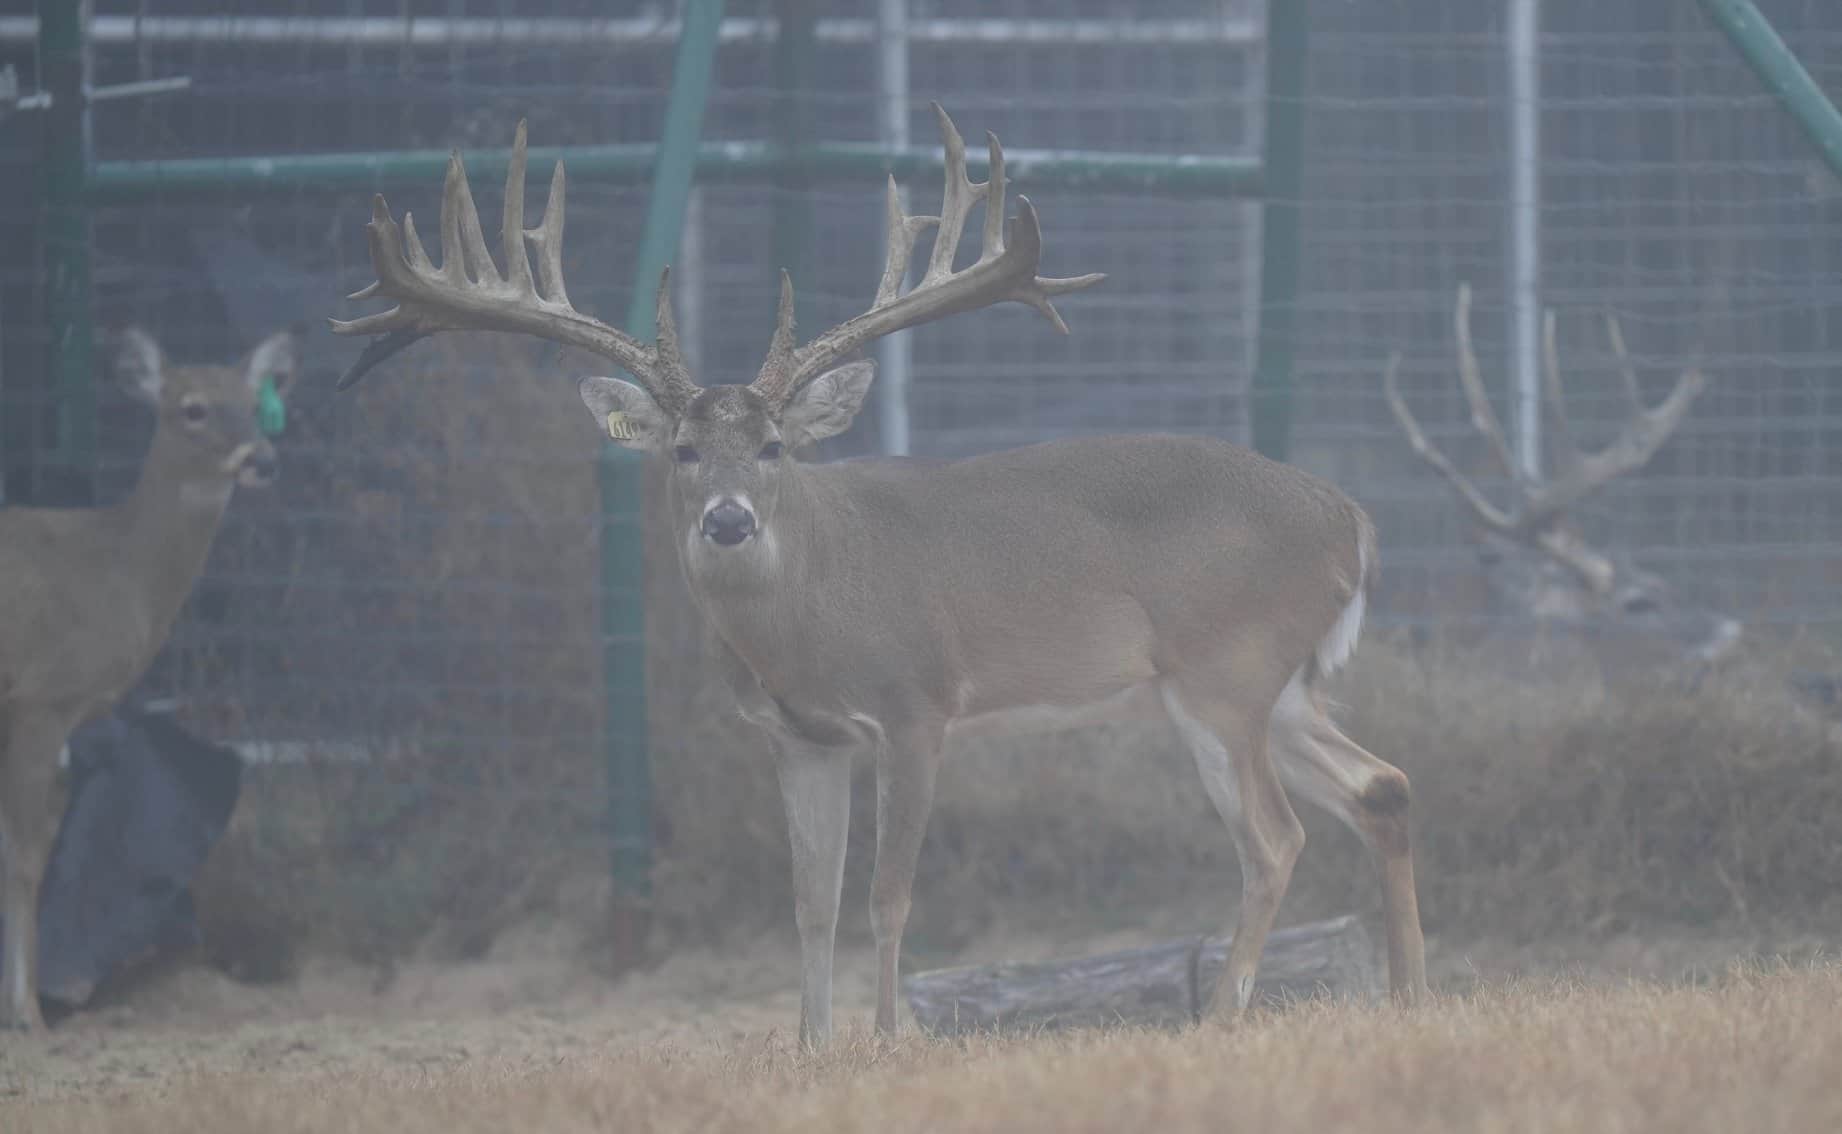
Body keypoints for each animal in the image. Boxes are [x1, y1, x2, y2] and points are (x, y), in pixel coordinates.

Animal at [0, 326, 296, 1030]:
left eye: (255, 402)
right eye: (192, 409)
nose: (263, 459)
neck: (119, 575)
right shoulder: (43, 694)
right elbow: (25, 857)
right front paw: (28, 1014)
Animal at [328, 106, 1428, 1047]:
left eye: (773, 446)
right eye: (682, 451)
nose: (728, 520)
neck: (812, 611)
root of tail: (1354, 521)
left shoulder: (916, 704)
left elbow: (887, 893)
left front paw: (888, 1038)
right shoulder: (797, 737)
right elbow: (810, 902)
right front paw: (810, 1047)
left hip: (1223, 671)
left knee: (1275, 837)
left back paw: (1226, 1013)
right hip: (1277, 686)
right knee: (1381, 784)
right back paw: (1407, 993)